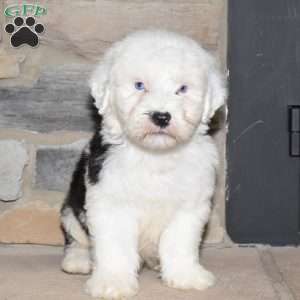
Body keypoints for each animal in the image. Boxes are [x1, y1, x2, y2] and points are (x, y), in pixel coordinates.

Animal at [60, 29, 225, 298]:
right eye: (139, 86)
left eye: (182, 89)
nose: (161, 116)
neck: (155, 155)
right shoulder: (110, 201)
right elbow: (115, 246)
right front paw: (113, 283)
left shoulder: (190, 204)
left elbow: (180, 242)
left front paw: (186, 276)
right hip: (71, 208)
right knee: (76, 237)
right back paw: (78, 261)